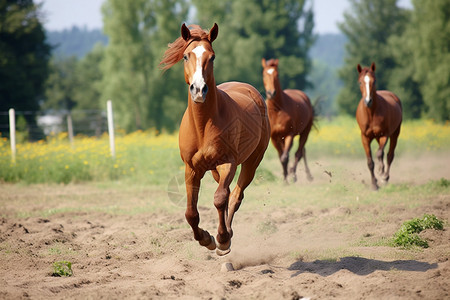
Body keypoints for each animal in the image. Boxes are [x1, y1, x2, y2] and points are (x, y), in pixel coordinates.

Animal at [160, 23, 268, 254]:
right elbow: (191, 212)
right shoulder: (192, 168)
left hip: (252, 162)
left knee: (234, 195)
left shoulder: (228, 163)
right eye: (186, 56)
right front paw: (205, 238)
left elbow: (220, 199)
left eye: (212, 57)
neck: (203, 126)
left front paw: (222, 239)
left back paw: (227, 234)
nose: (199, 90)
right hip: (215, 171)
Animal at [356, 62, 402, 190]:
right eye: (360, 82)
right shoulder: (365, 137)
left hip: (395, 133)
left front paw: (381, 171)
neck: (371, 113)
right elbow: (370, 162)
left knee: (390, 155)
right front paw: (374, 184)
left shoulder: (384, 135)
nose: (368, 101)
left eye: (374, 81)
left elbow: (379, 153)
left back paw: (385, 177)